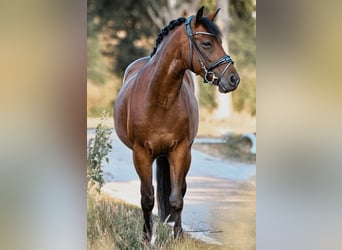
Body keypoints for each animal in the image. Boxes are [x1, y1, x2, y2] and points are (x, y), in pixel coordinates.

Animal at [113, 5, 239, 240]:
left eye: (220, 41)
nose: (234, 79)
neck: (160, 98)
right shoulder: (141, 154)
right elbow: (147, 199)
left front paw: (178, 235)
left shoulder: (180, 151)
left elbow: (177, 197)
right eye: (207, 43)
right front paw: (146, 237)